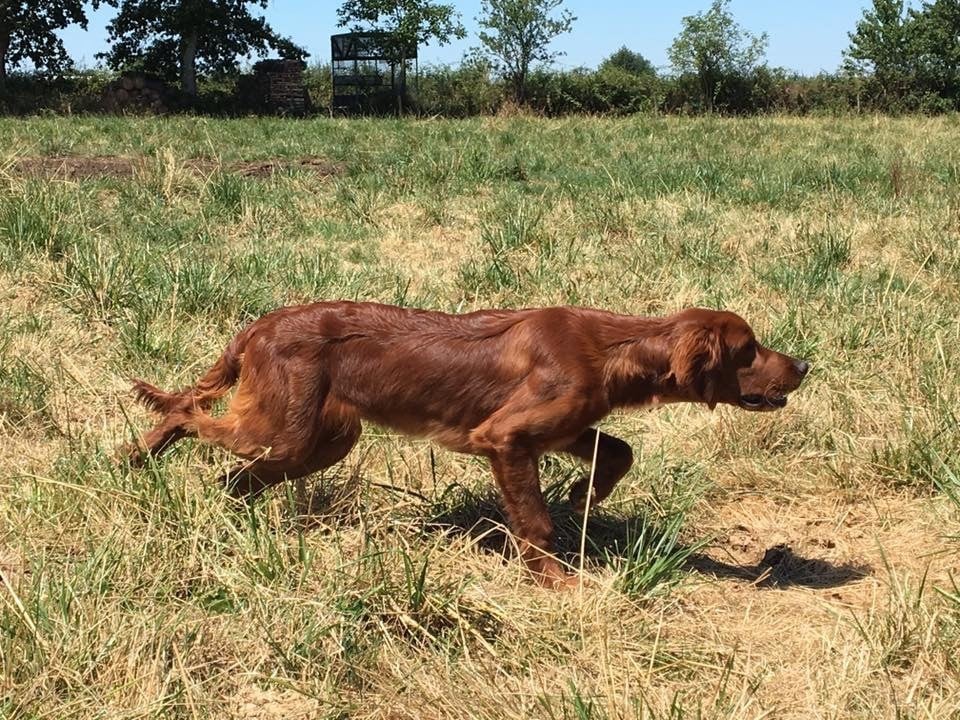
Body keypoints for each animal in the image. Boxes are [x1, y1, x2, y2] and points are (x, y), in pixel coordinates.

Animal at [124, 300, 808, 588]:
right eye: (749, 350)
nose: (802, 366)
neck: (612, 346)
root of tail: (258, 326)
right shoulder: (505, 438)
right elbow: (535, 523)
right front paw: (557, 584)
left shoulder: (564, 429)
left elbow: (618, 451)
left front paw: (585, 496)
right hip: (287, 432)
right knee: (189, 413)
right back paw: (140, 452)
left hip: (319, 441)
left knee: (234, 477)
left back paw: (236, 523)